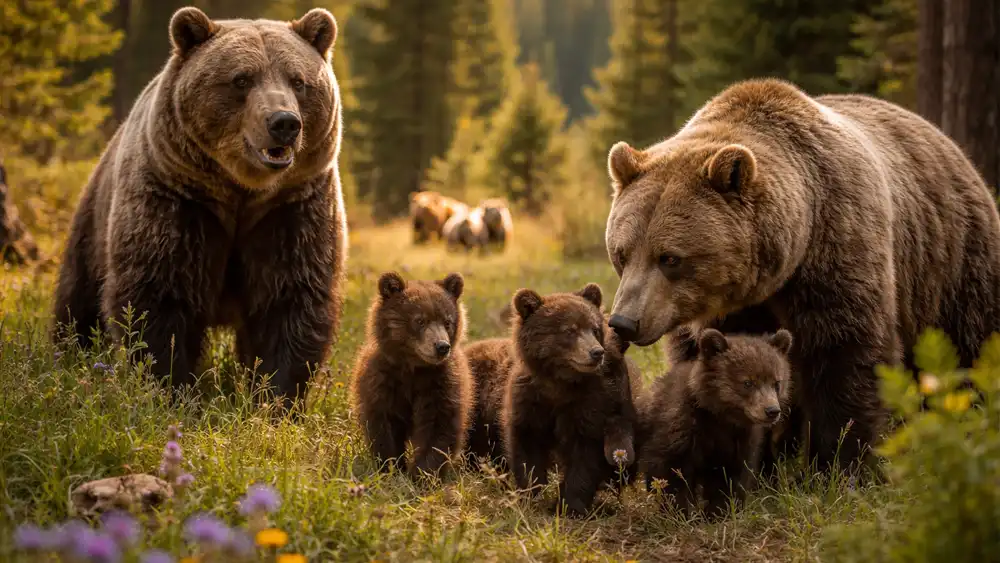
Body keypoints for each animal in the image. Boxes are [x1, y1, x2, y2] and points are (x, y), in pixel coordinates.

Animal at [51, 7, 347, 410]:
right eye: (241, 79)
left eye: (298, 81)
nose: (284, 122)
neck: (242, 192)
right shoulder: (178, 201)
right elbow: (159, 296)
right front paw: (172, 391)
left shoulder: (291, 208)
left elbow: (290, 299)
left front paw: (275, 399)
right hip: (94, 221)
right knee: (77, 301)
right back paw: (69, 354)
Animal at [349, 271, 474, 480]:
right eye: (420, 320)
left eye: (447, 321)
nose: (442, 346)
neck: (414, 367)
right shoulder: (384, 381)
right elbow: (385, 426)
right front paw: (391, 468)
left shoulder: (440, 382)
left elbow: (438, 428)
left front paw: (423, 474)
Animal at [500, 283, 643, 516]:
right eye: (569, 330)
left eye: (594, 329)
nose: (596, 352)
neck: (559, 383)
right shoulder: (530, 401)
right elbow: (527, 448)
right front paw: (530, 495)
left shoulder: (590, 404)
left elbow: (585, 454)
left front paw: (570, 505)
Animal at [604, 78, 1000, 476]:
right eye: (622, 254)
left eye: (669, 258)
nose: (624, 321)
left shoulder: (836, 253)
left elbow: (845, 357)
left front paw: (839, 464)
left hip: (952, 264)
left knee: (970, 348)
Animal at [638, 328, 793, 519]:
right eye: (748, 382)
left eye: (776, 382)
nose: (772, 410)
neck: (721, 417)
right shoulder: (679, 430)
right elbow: (670, 472)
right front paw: (679, 512)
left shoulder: (741, 441)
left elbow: (730, 478)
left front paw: (719, 511)